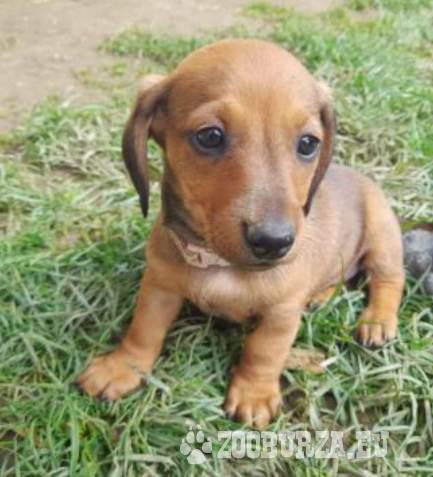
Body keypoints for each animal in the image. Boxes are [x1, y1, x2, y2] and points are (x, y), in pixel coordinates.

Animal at [79, 39, 405, 428]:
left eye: (308, 143)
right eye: (210, 136)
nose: (274, 242)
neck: (221, 263)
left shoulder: (281, 313)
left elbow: (263, 351)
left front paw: (254, 393)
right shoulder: (159, 286)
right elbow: (144, 329)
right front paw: (121, 367)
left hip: (382, 238)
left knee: (389, 280)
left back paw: (377, 321)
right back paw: (319, 295)